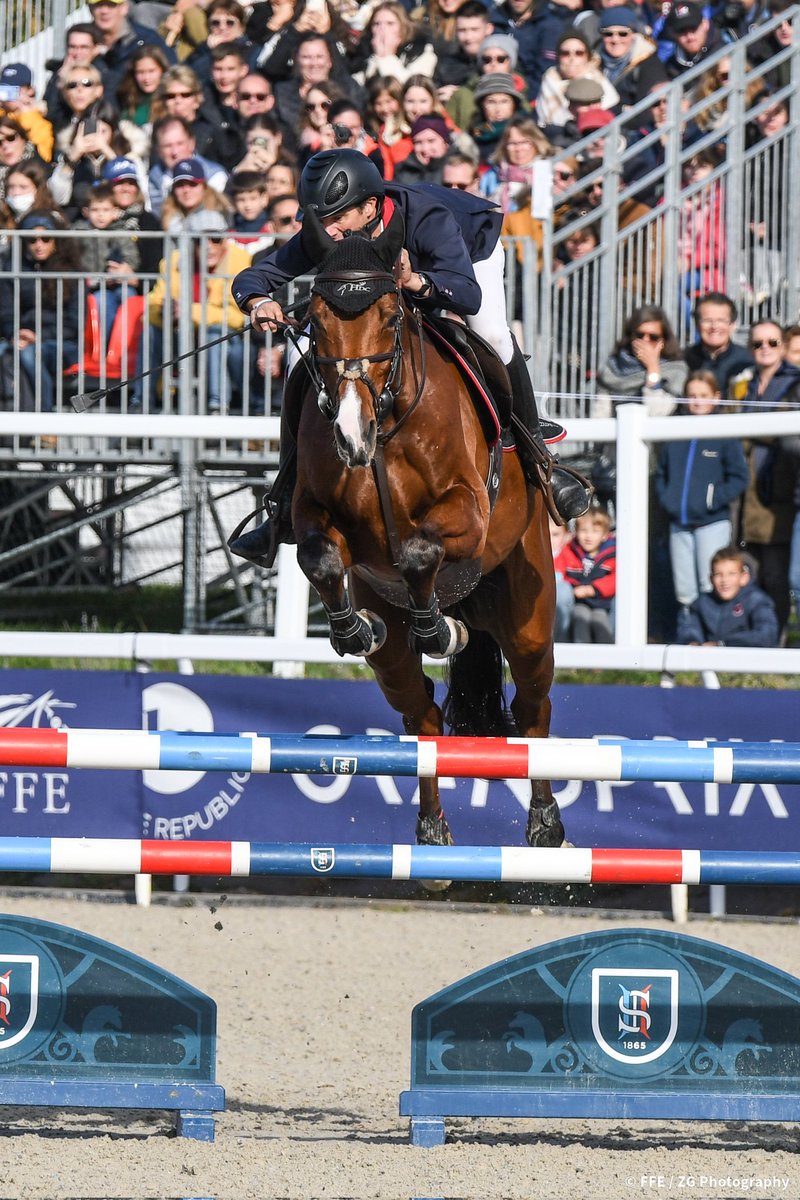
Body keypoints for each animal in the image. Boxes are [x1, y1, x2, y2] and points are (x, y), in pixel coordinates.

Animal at [287, 206, 566, 850]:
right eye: (314, 321)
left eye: (391, 317)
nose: (351, 437)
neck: (388, 423)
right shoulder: (315, 515)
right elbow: (321, 558)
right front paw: (352, 630)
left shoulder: (469, 514)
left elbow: (417, 551)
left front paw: (439, 632)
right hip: (398, 658)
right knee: (423, 717)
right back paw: (433, 829)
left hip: (527, 611)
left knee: (533, 709)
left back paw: (545, 824)